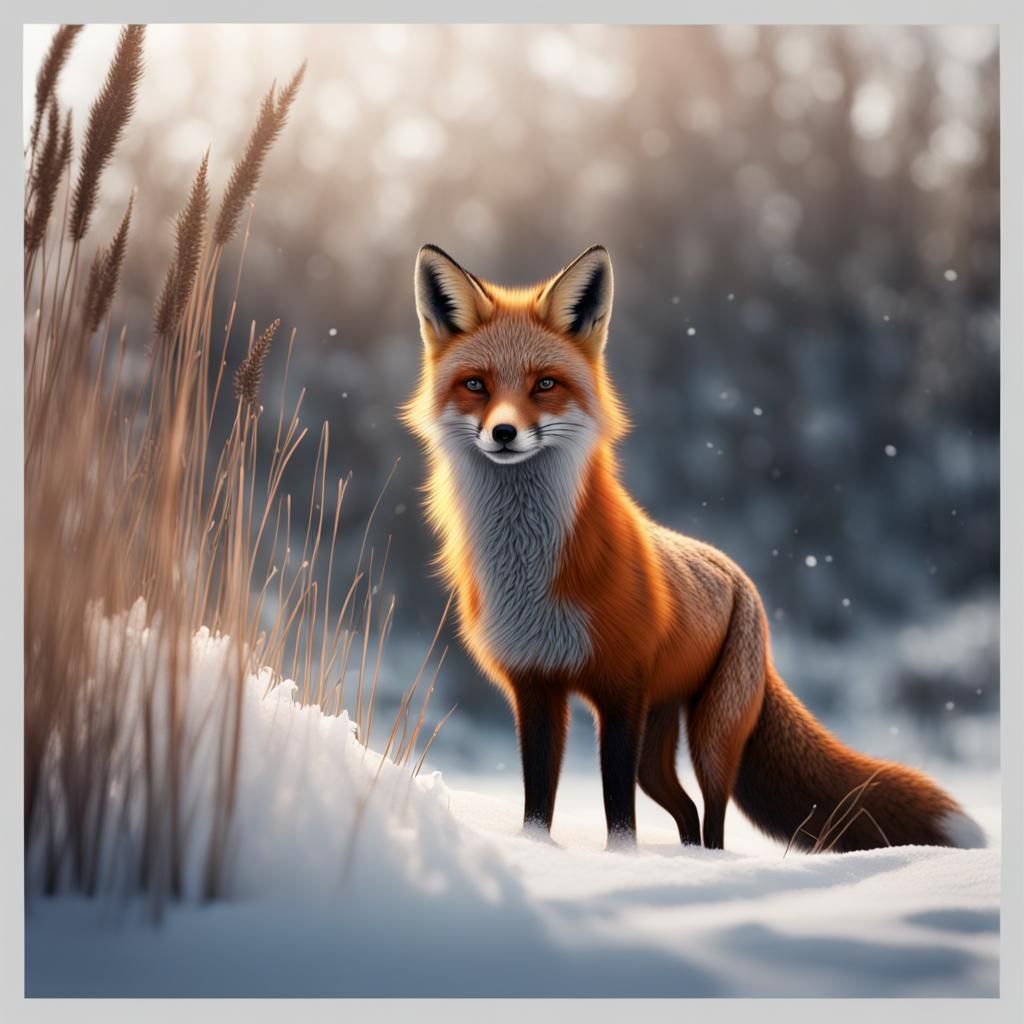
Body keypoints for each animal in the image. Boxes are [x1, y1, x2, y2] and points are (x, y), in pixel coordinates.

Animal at [402, 242, 986, 853]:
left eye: (544, 384)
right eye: (476, 385)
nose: (504, 433)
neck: (531, 576)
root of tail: (739, 574)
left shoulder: (621, 688)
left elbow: (618, 808)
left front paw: (622, 858)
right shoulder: (536, 687)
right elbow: (537, 801)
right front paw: (540, 849)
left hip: (713, 735)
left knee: (713, 816)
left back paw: (709, 861)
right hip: (658, 746)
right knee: (683, 810)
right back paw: (687, 857)